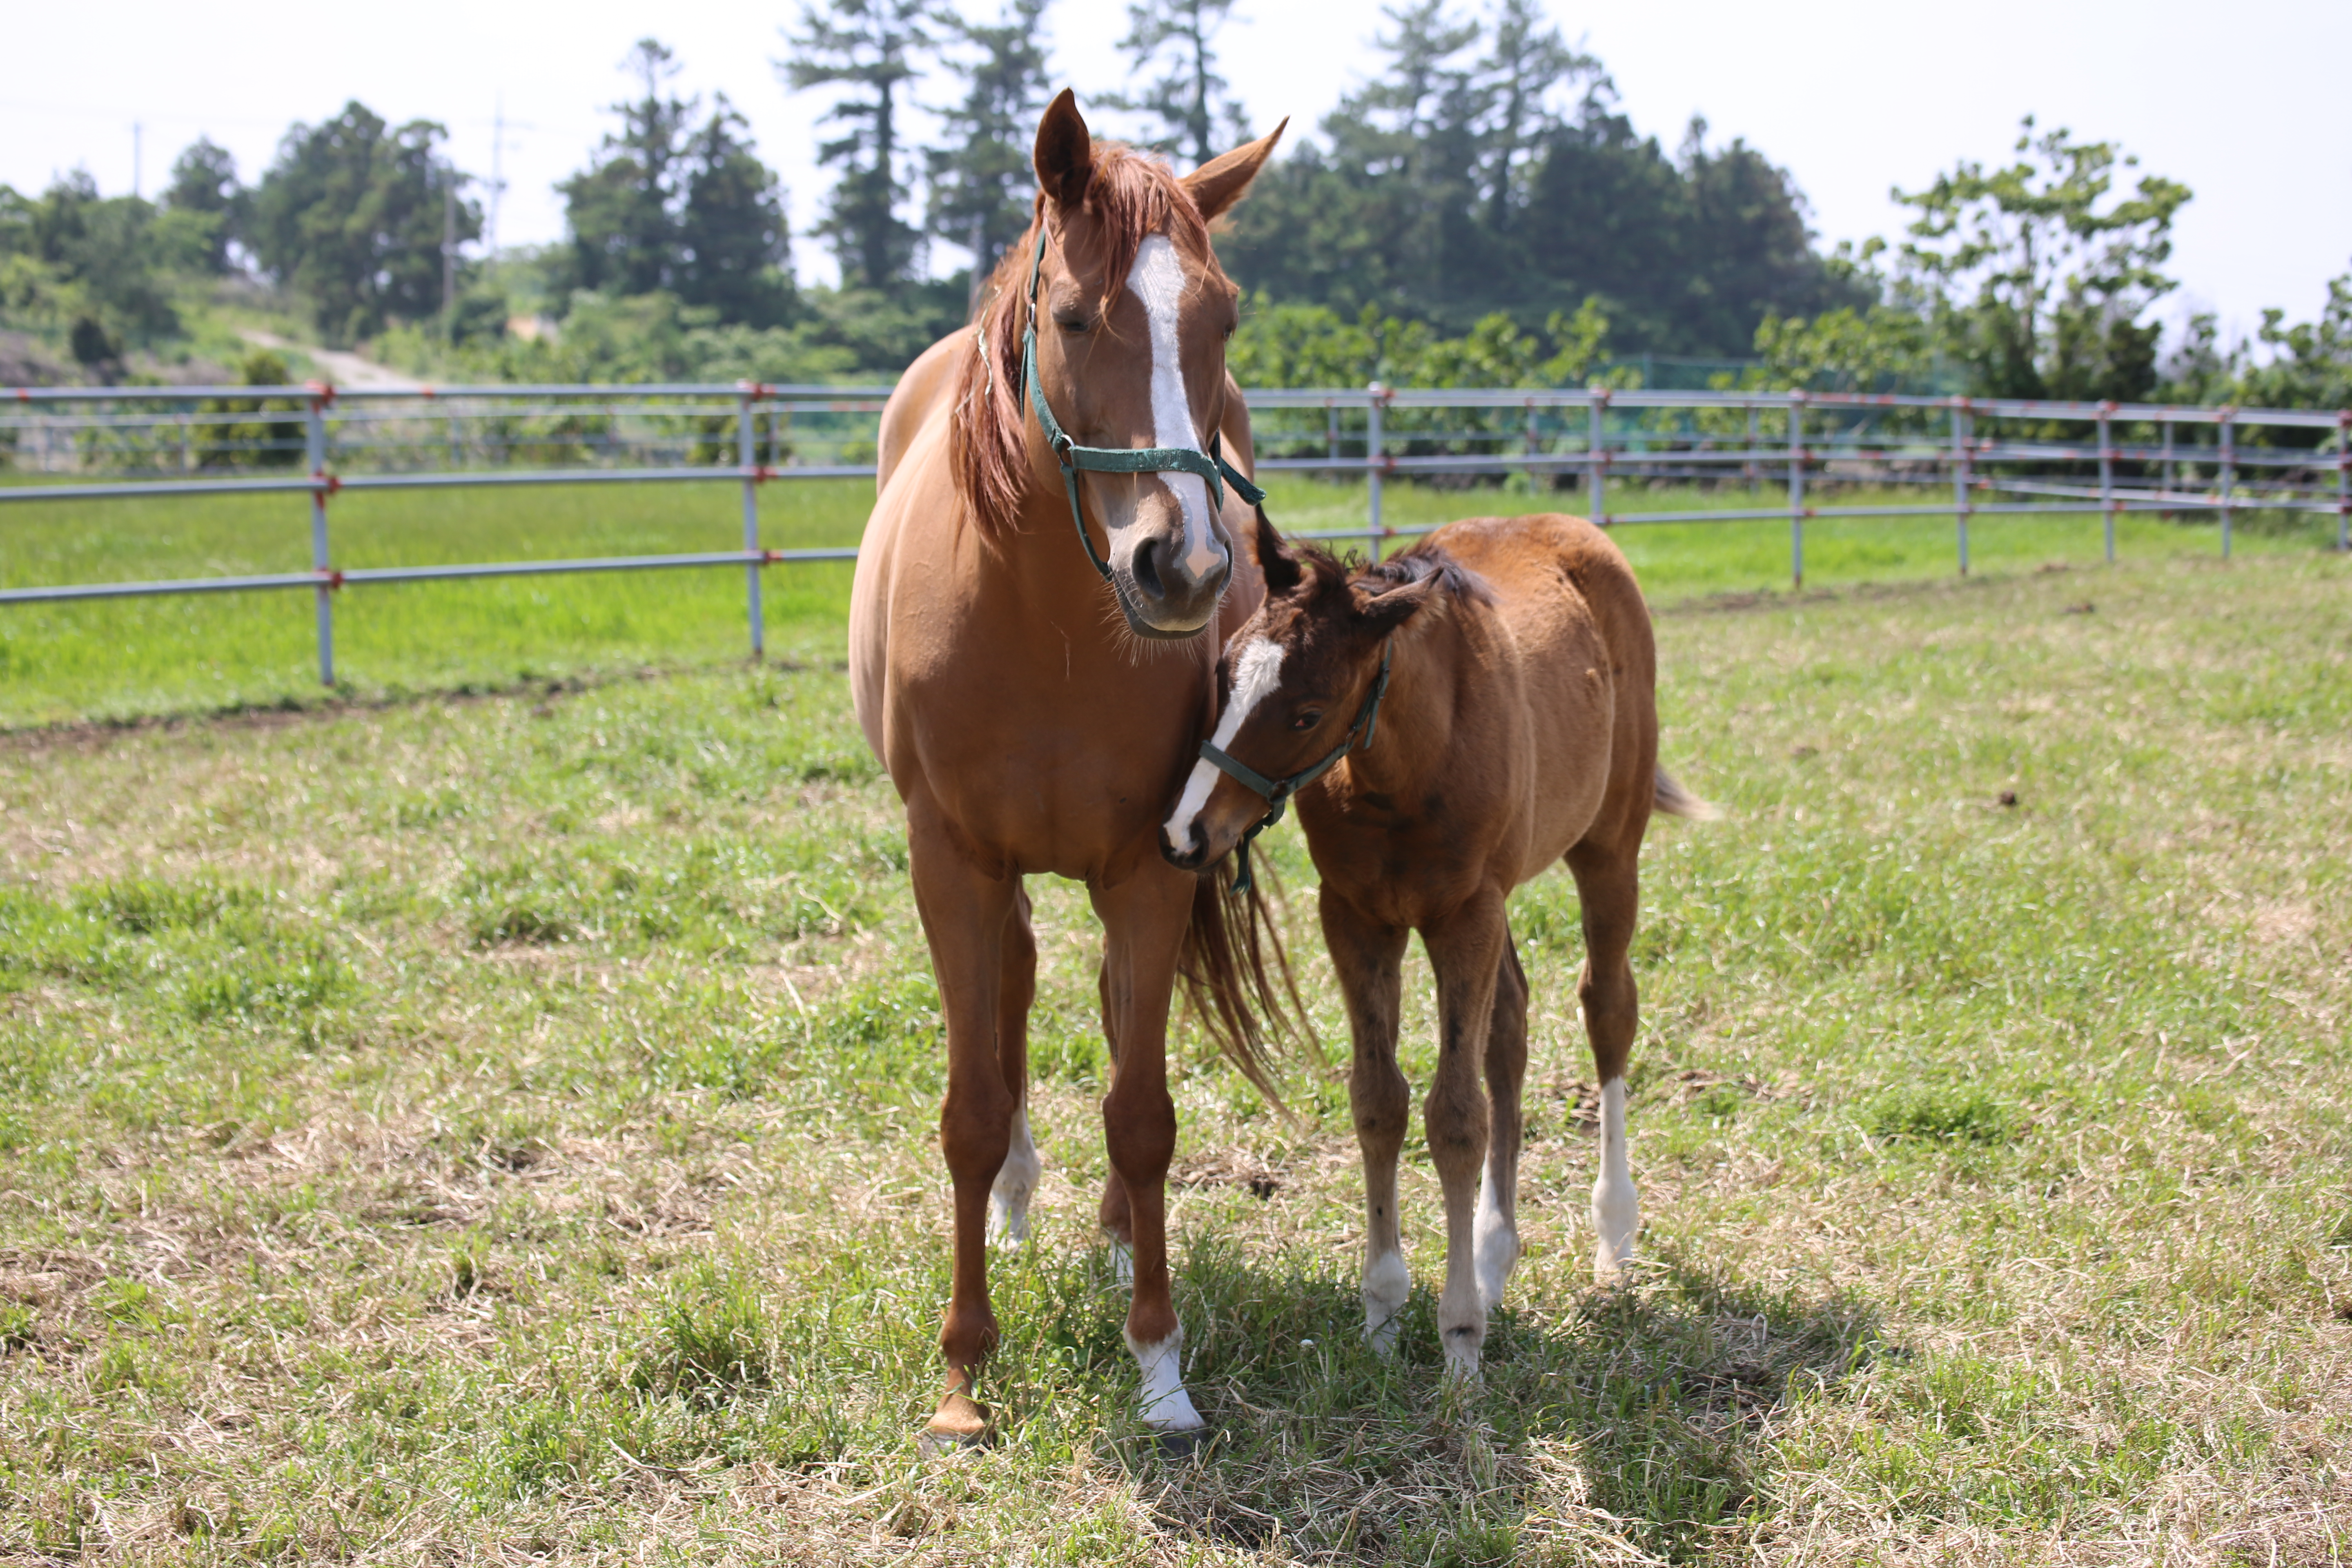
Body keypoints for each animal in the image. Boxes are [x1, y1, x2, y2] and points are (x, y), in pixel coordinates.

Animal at [1162, 512, 1703, 1373]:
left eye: (1308, 711)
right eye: (1223, 671)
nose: (1186, 835)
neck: (1406, 770)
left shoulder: (1463, 915)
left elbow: (1455, 1116)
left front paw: (1460, 1344)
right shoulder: (1358, 917)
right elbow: (1380, 1101)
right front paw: (1384, 1313)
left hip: (1608, 849)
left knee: (1608, 1008)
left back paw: (1613, 1234)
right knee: (1510, 1024)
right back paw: (1493, 1256)